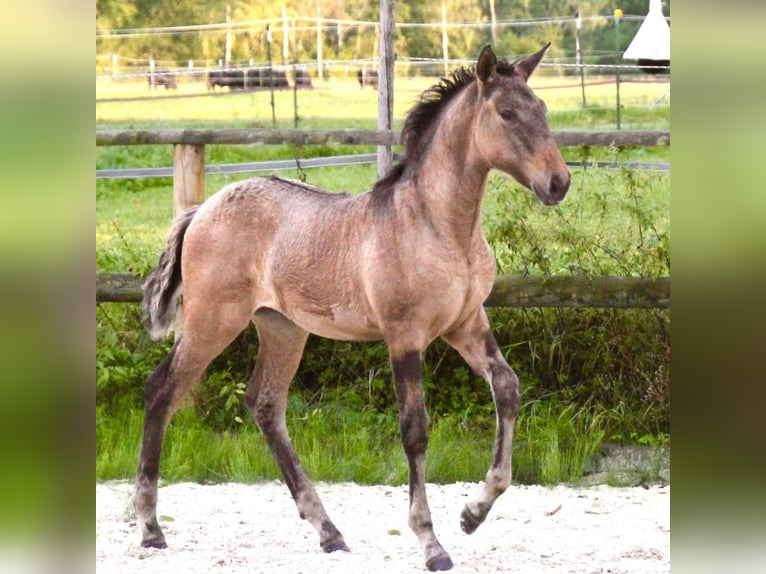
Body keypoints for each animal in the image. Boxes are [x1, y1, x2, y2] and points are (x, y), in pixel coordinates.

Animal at [135, 45, 568, 572]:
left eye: (542, 109)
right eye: (506, 113)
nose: (558, 182)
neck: (441, 226)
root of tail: (201, 211)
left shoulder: (466, 323)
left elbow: (507, 387)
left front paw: (472, 514)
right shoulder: (404, 336)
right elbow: (415, 429)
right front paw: (431, 543)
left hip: (283, 329)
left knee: (265, 404)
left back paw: (329, 531)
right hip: (212, 321)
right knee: (162, 391)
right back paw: (151, 527)